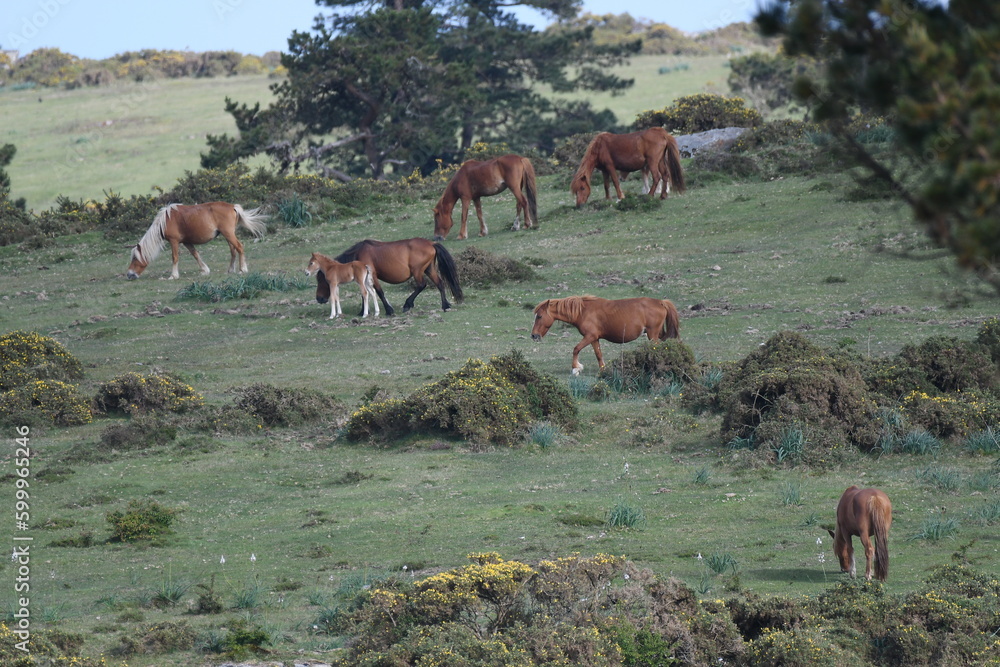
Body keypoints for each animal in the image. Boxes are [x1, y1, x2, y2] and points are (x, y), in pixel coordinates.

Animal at [125, 202, 268, 280]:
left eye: (135, 258)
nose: (129, 274)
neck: (165, 221)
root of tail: (233, 206)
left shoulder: (174, 241)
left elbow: (175, 257)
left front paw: (173, 275)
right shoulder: (186, 242)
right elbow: (195, 254)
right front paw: (205, 270)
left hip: (228, 234)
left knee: (239, 247)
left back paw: (242, 269)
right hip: (228, 235)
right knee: (233, 251)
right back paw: (231, 270)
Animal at [316, 238, 463, 316]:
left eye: (322, 279)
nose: (319, 298)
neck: (357, 255)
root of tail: (431, 243)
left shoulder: (372, 276)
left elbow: (379, 292)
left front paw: (388, 310)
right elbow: (364, 294)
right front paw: (362, 311)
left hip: (418, 271)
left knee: (422, 285)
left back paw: (408, 304)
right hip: (429, 269)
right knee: (440, 284)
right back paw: (445, 305)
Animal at [531, 296, 680, 375]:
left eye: (539, 316)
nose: (534, 336)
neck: (583, 312)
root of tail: (661, 302)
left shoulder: (589, 336)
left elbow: (576, 349)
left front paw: (575, 369)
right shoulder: (595, 339)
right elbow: (598, 355)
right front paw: (603, 370)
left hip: (652, 334)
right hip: (657, 333)